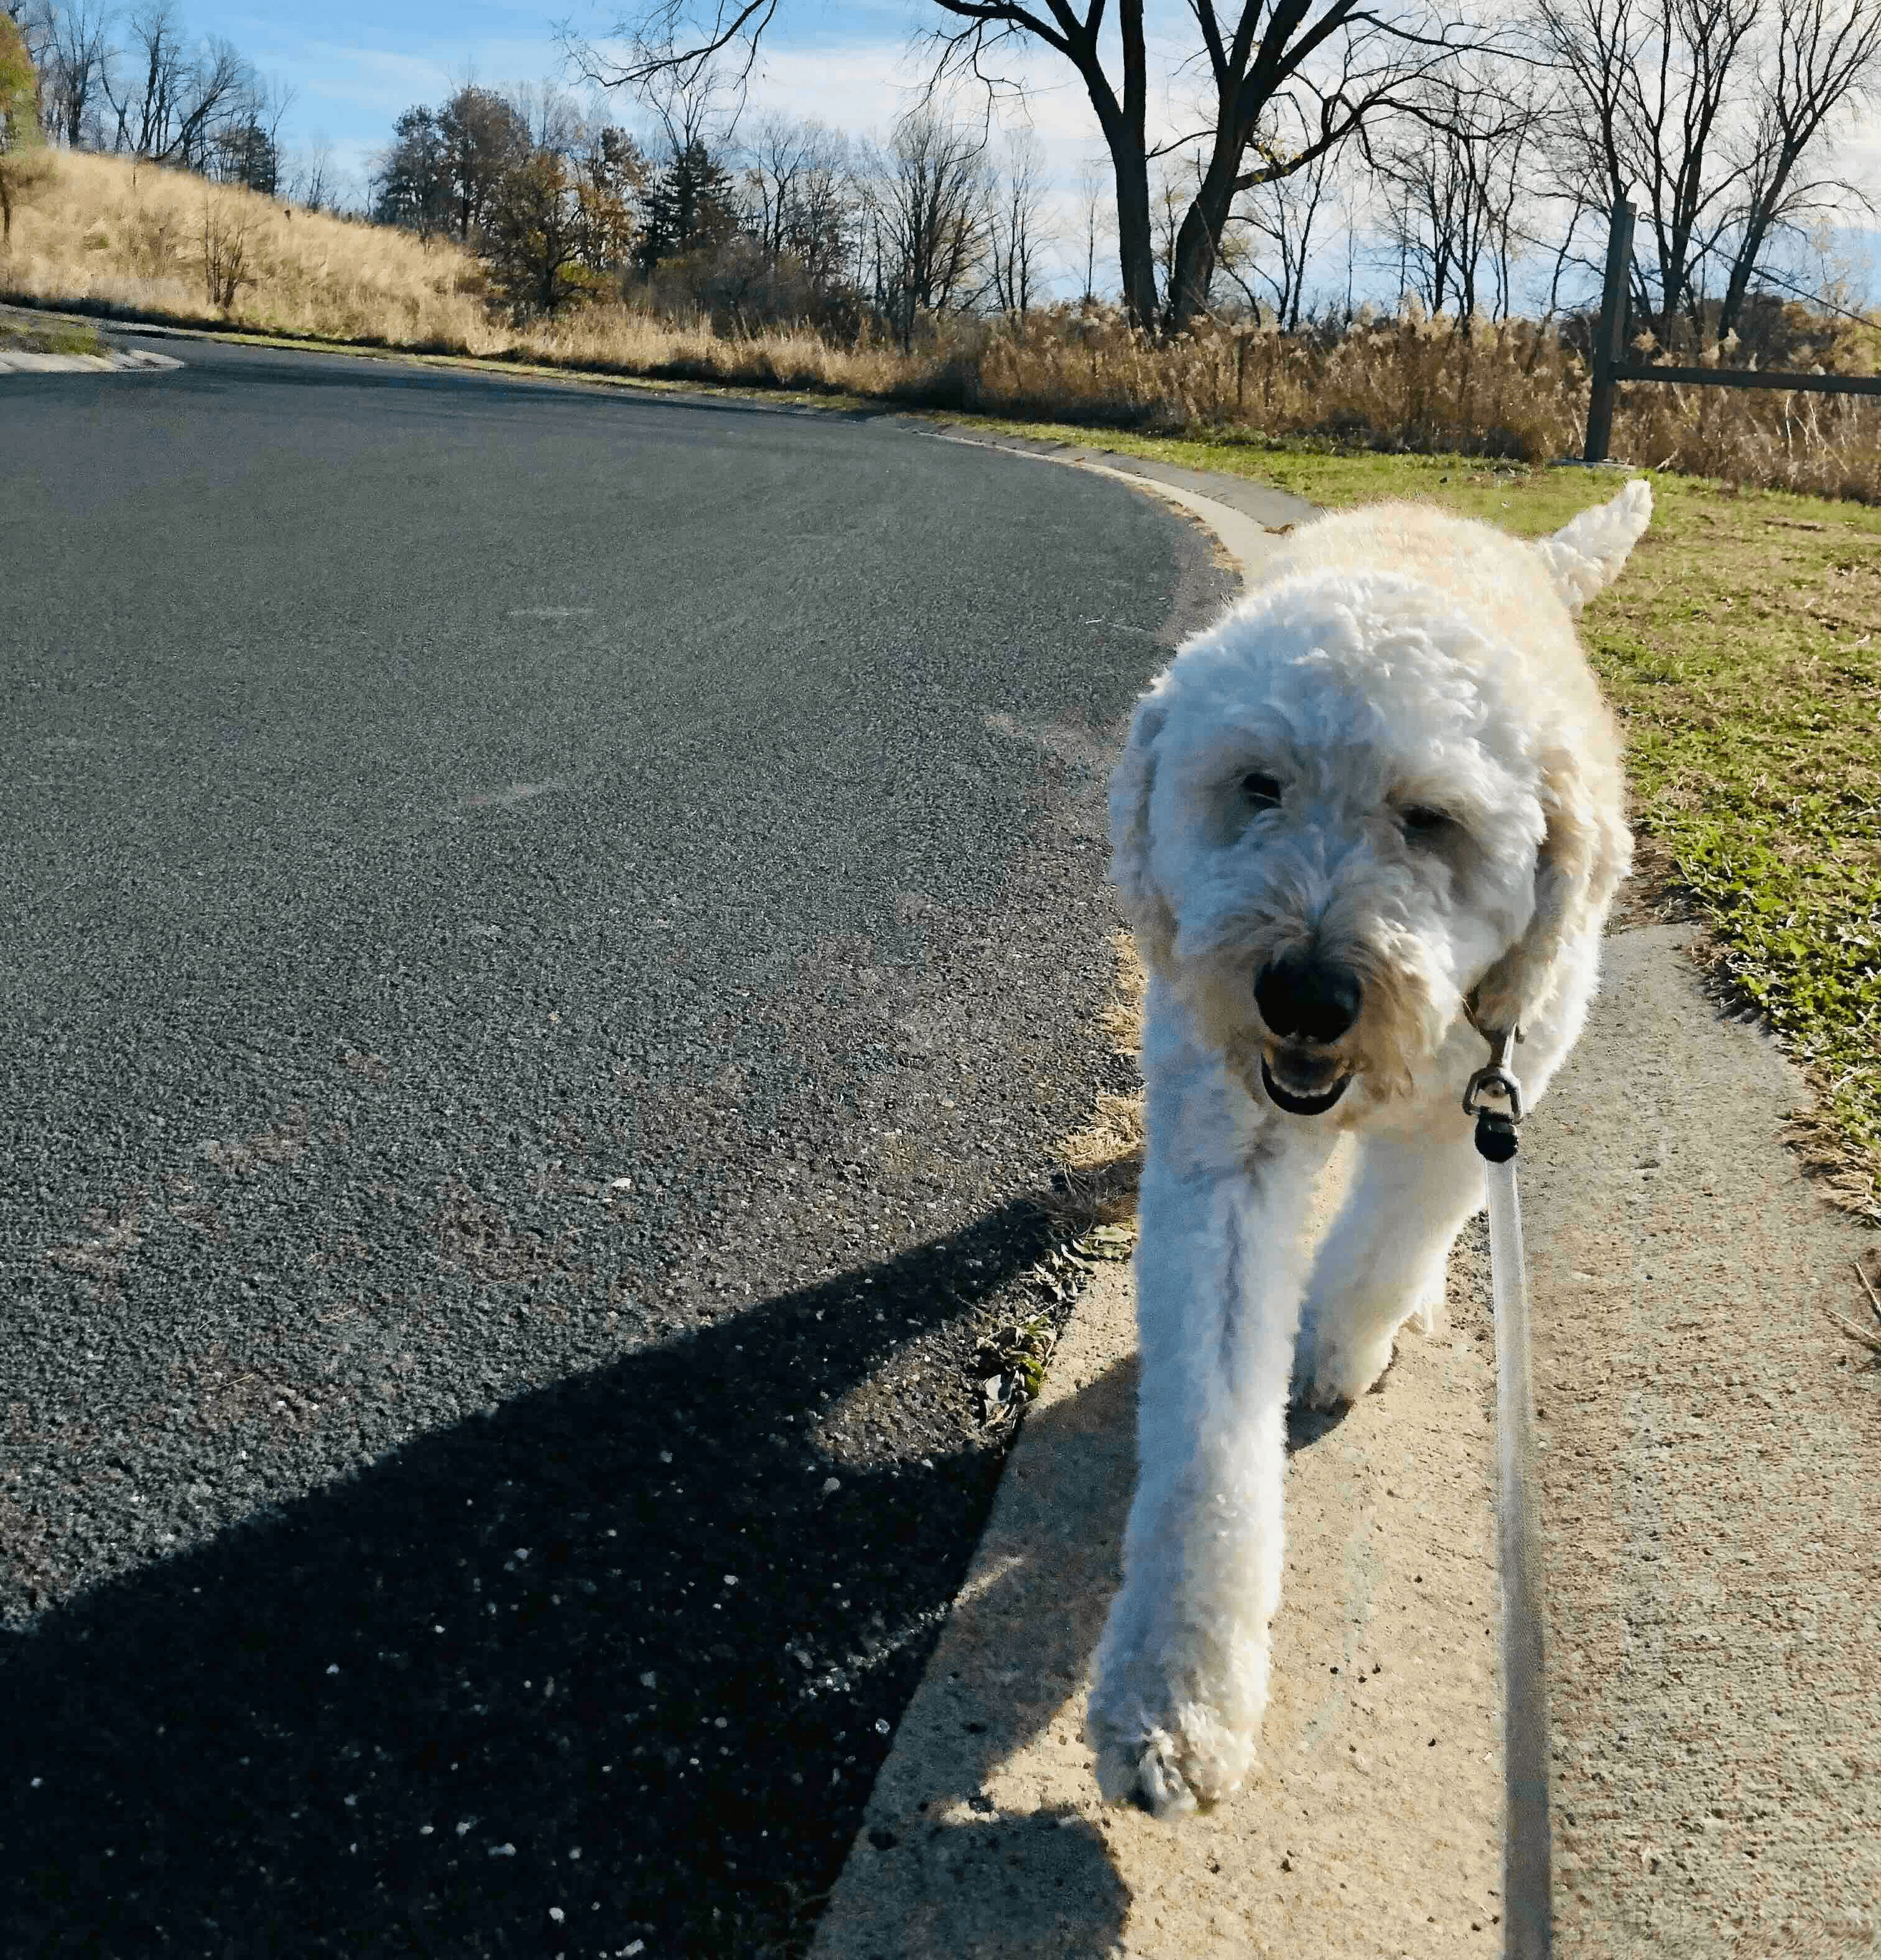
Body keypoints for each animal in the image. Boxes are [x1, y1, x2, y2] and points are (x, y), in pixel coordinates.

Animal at [1089, 478, 1646, 1819]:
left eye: (1429, 820)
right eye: (1256, 785)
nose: (1303, 991)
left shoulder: (1478, 1108)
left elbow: (1385, 1248)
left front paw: (1335, 1349)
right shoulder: (1224, 1142)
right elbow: (1206, 1448)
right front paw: (1176, 1697)